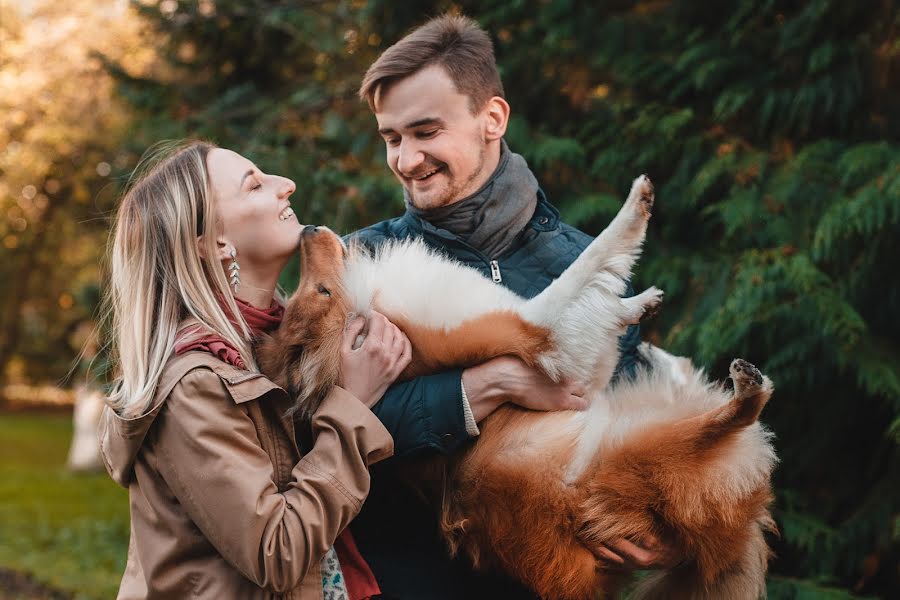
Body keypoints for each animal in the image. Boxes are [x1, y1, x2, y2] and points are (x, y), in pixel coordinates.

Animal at [256, 176, 776, 596]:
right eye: (321, 291)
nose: (307, 228)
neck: (371, 306)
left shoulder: (582, 359)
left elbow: (603, 308)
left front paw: (640, 305)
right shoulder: (545, 335)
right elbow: (590, 265)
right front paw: (637, 203)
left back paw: (666, 356)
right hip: (649, 446)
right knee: (725, 423)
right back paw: (745, 388)